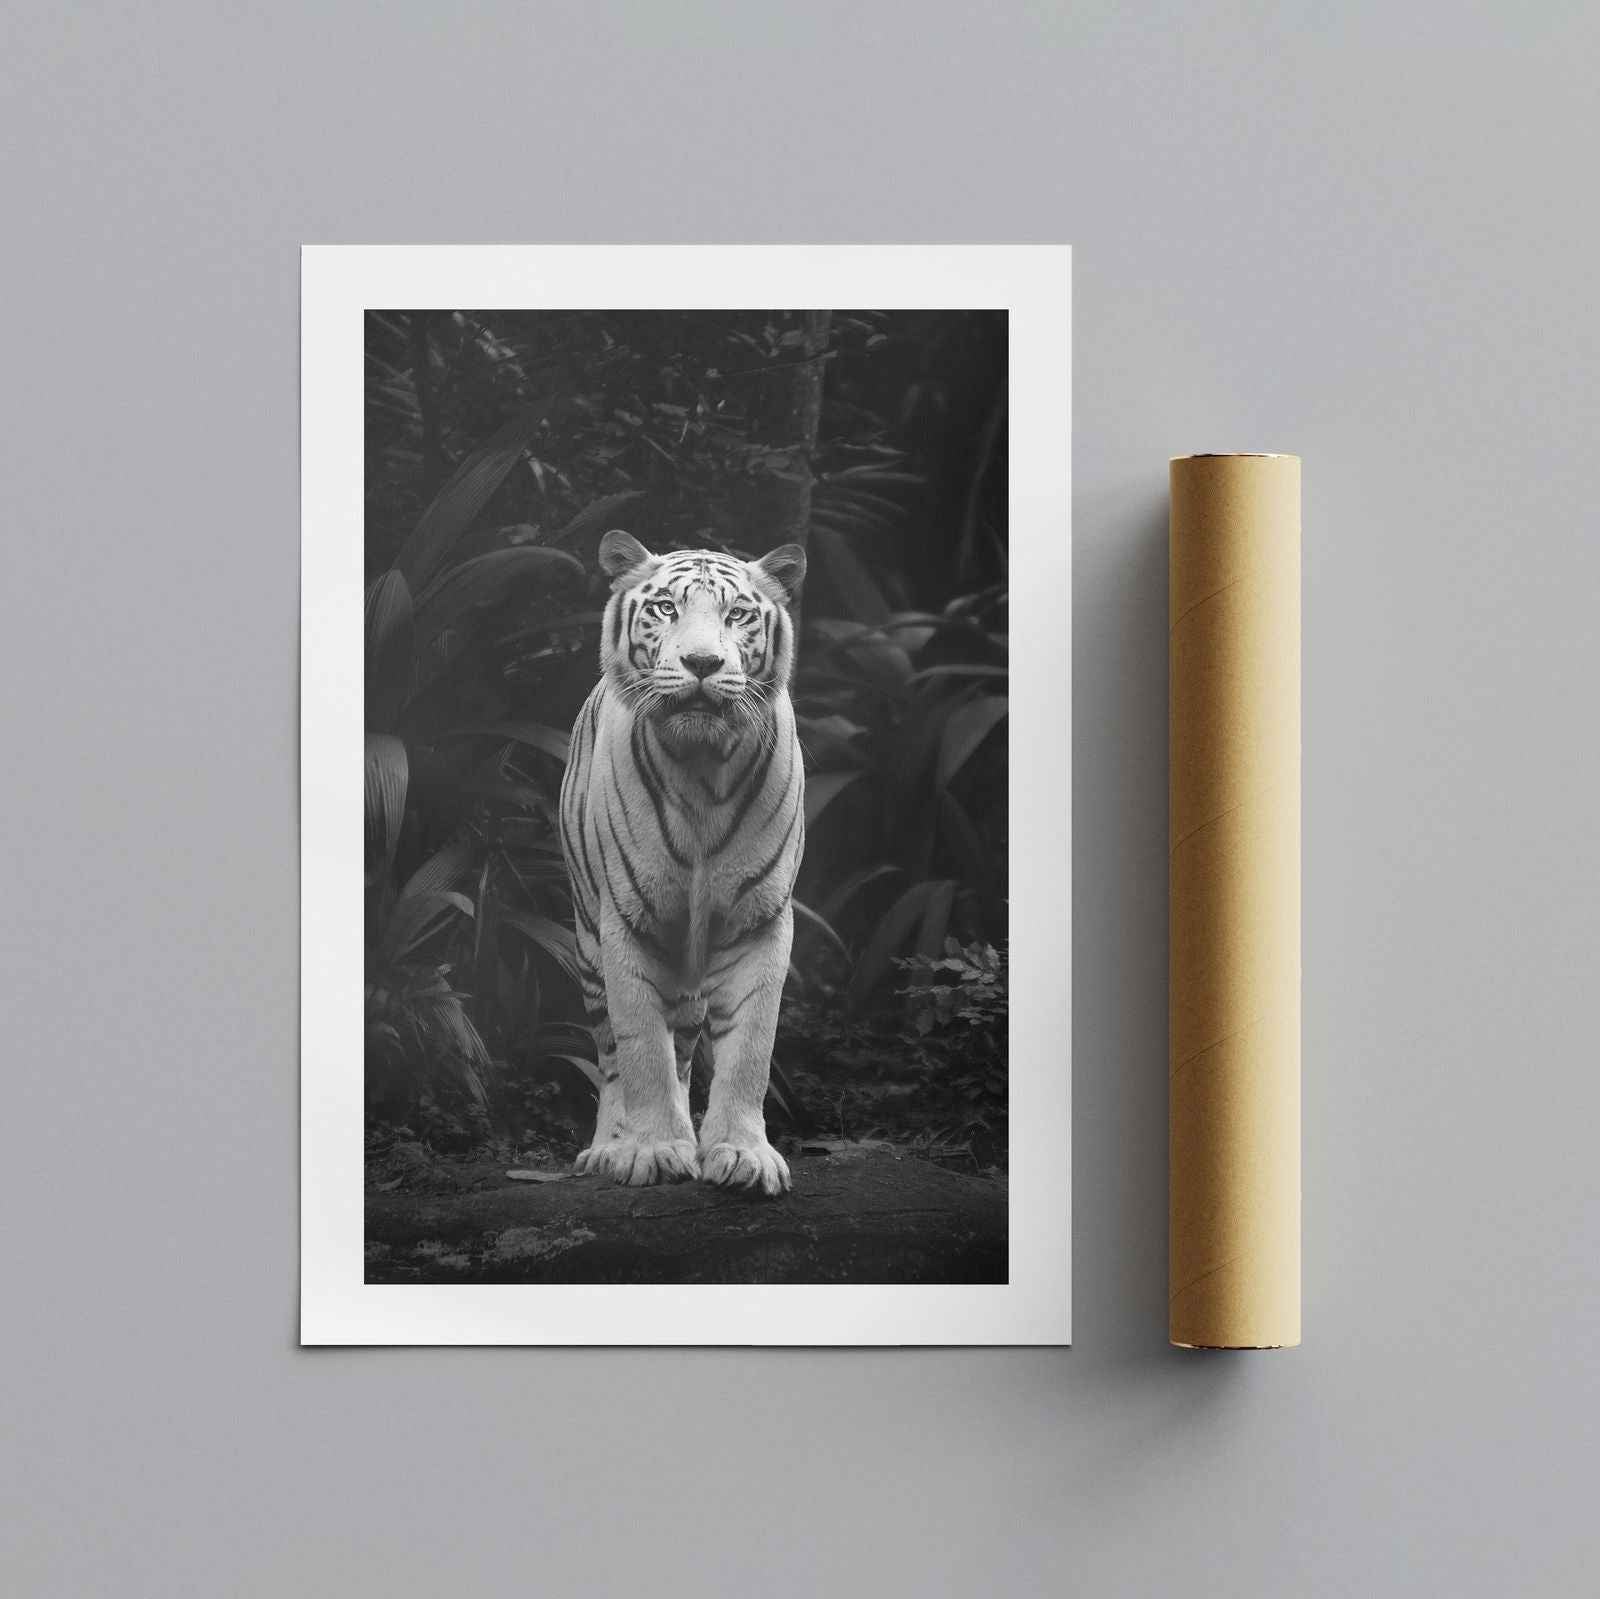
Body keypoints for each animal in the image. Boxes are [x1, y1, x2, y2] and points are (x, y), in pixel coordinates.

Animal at [557, 529, 807, 1195]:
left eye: (738, 614)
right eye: (666, 608)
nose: (701, 663)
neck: (702, 768)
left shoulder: (759, 922)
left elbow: (750, 1049)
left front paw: (742, 1153)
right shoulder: (627, 922)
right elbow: (642, 1047)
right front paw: (651, 1150)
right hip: (587, 941)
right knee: (612, 1056)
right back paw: (608, 1148)